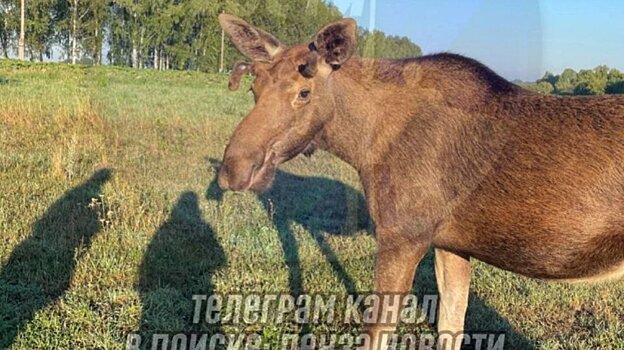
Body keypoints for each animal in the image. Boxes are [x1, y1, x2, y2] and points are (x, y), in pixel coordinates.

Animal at [217, 13, 624, 350]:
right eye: (254, 90)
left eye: (304, 92)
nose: (232, 170)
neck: (364, 145)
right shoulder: (450, 245)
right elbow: (450, 327)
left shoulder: (402, 236)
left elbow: (377, 333)